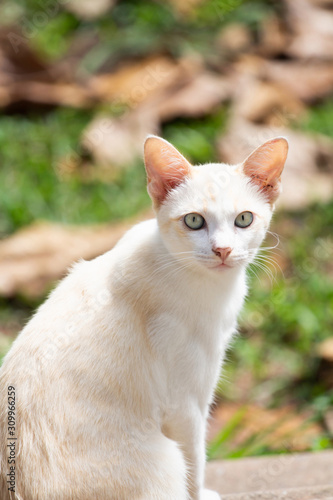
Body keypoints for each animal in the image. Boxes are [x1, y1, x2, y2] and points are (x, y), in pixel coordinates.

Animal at [0, 135, 286, 498]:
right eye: (194, 221)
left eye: (244, 219)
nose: (222, 250)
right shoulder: (186, 403)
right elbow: (196, 462)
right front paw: (201, 495)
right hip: (166, 456)